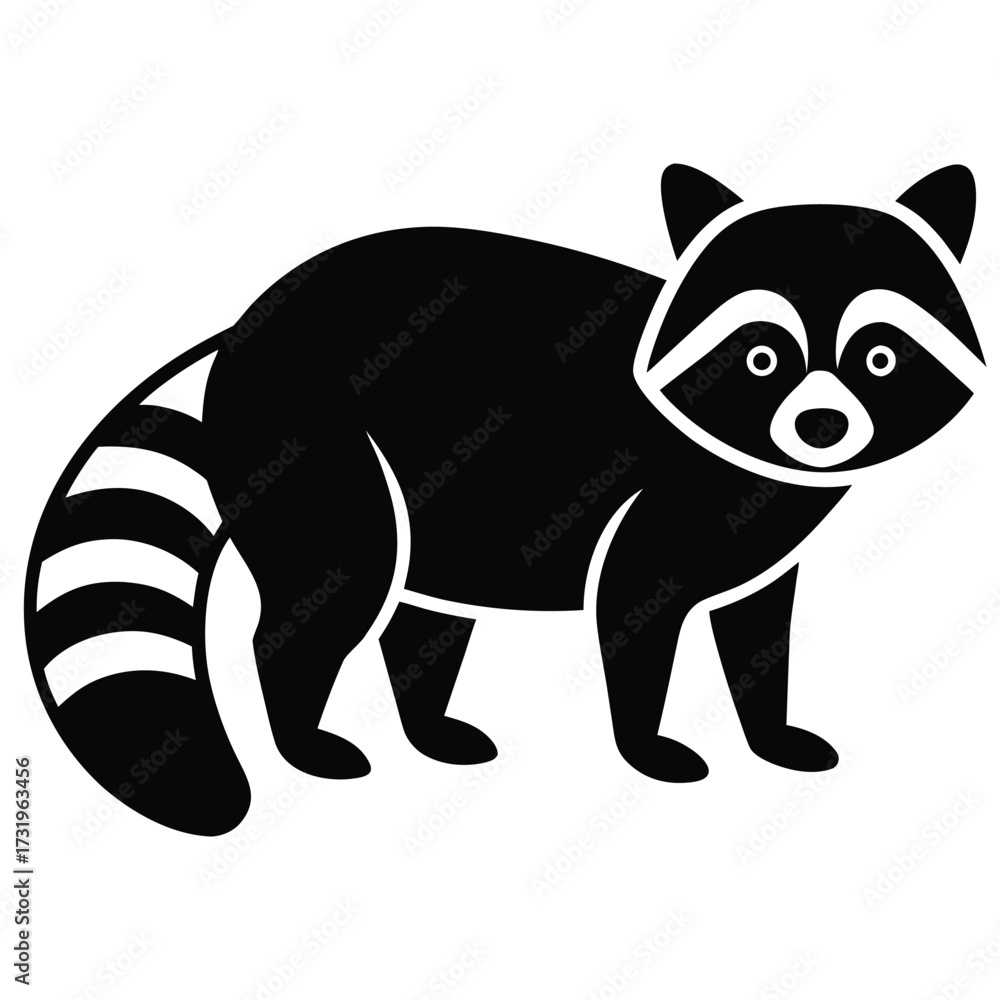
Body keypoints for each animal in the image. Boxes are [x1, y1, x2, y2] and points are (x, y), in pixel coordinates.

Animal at [25, 164, 982, 835]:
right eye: (761, 357)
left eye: (880, 356)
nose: (820, 426)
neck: (757, 463)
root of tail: (247, 322)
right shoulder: (662, 507)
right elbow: (635, 615)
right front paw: (646, 744)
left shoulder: (760, 532)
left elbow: (757, 632)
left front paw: (768, 728)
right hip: (317, 448)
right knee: (331, 592)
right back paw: (301, 740)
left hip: (440, 504)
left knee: (421, 618)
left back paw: (428, 727)